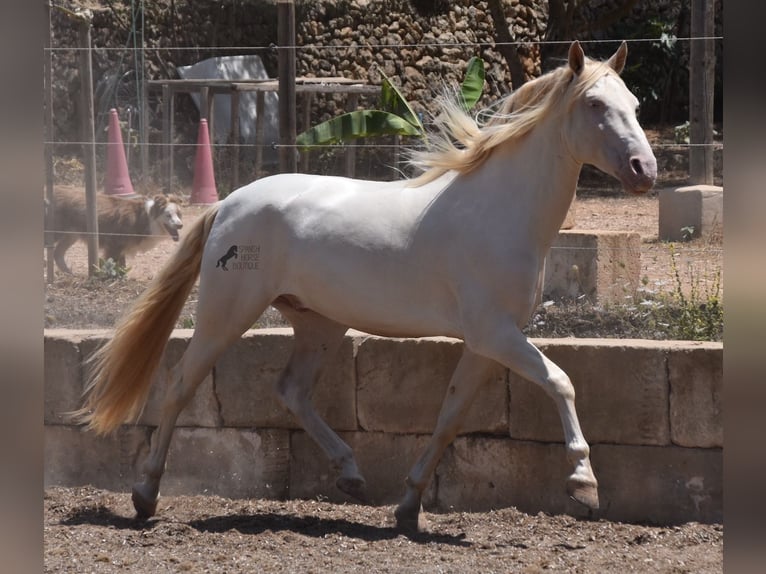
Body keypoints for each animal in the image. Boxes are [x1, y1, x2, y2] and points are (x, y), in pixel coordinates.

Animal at [75, 41, 656, 536]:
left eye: (634, 104)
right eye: (596, 105)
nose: (644, 170)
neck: (501, 212)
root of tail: (229, 204)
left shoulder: (486, 344)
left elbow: (449, 418)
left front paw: (408, 507)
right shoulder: (496, 334)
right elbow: (561, 382)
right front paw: (583, 483)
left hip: (320, 324)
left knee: (291, 390)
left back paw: (351, 475)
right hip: (228, 313)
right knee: (179, 386)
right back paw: (145, 495)